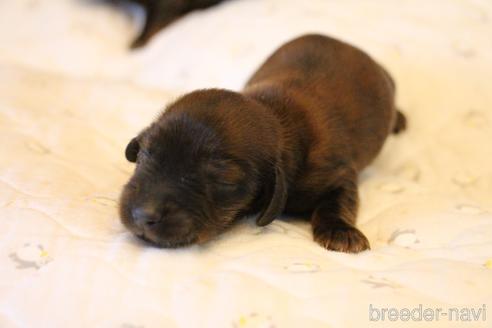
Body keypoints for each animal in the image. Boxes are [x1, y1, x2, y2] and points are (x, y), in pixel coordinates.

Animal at [119, 34, 408, 252]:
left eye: (223, 179)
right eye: (144, 155)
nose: (142, 215)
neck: (274, 113)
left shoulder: (337, 172)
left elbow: (338, 199)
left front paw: (340, 231)